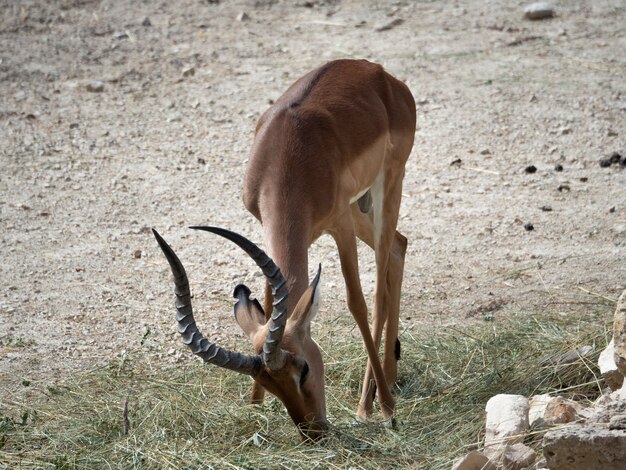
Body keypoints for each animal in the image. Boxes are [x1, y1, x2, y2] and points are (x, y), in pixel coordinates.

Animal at [152, 59, 414, 440]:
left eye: (302, 369)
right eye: (269, 383)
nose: (314, 433)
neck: (289, 153)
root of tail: (376, 72)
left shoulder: (339, 224)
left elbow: (356, 304)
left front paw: (384, 413)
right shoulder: (270, 226)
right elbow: (269, 299)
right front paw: (253, 406)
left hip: (388, 184)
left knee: (379, 289)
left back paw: (373, 402)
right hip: (359, 207)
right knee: (399, 246)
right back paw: (391, 381)